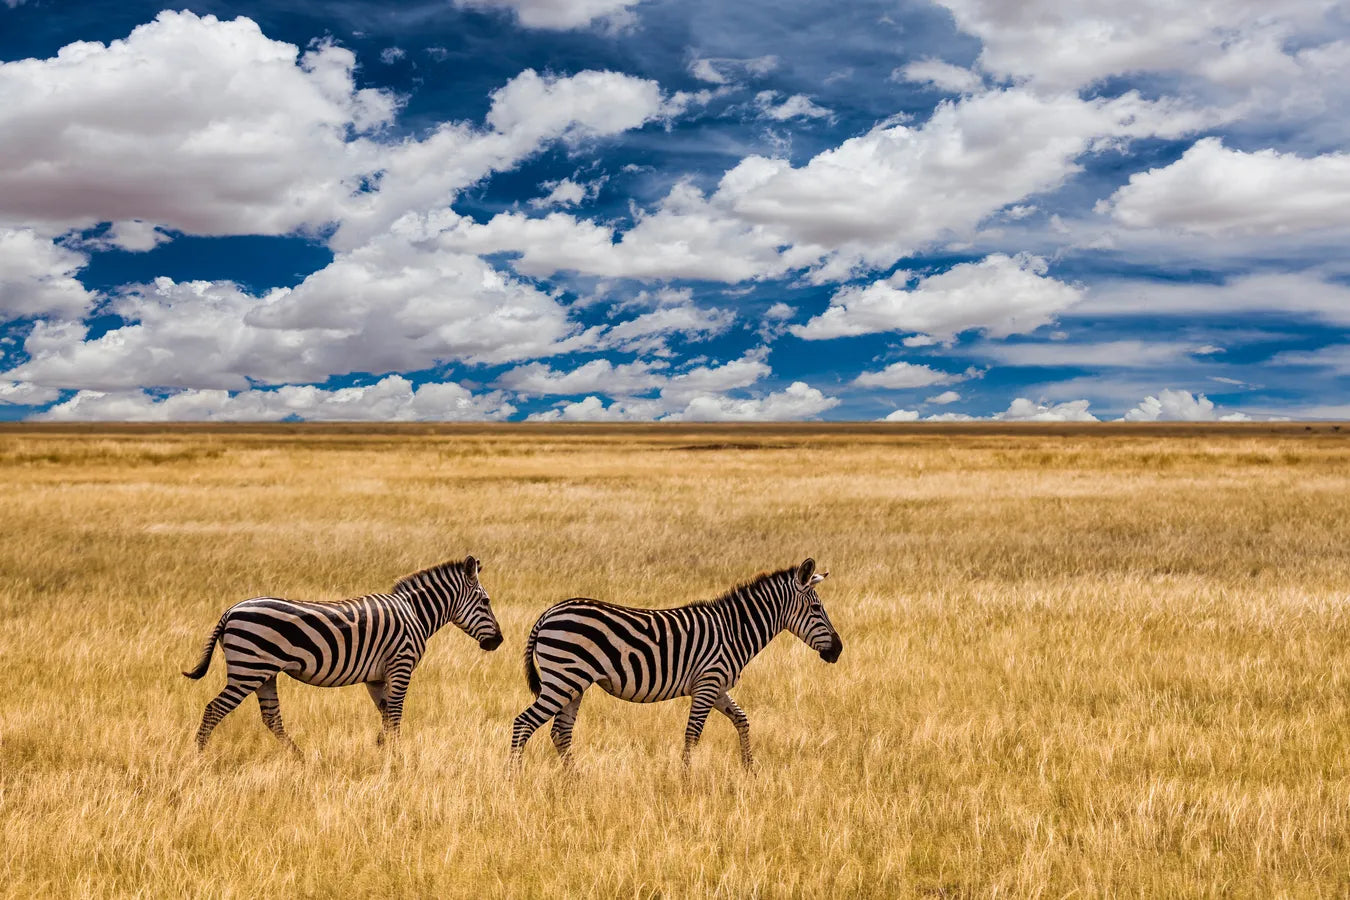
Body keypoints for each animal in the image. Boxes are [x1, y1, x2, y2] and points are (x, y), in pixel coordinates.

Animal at [183, 555, 502, 755]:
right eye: (486, 602)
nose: (498, 641)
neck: (415, 613)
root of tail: (230, 611)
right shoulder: (401, 663)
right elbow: (396, 713)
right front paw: (397, 757)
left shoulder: (376, 677)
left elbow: (386, 713)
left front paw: (382, 749)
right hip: (248, 669)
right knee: (214, 709)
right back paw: (199, 756)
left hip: (264, 673)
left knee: (272, 718)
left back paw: (300, 758)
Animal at [510, 558, 837, 771]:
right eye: (816, 608)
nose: (838, 650)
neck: (734, 629)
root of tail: (548, 613)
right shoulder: (707, 684)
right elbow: (693, 734)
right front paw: (686, 780)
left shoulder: (716, 686)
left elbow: (742, 720)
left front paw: (749, 770)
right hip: (563, 678)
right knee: (524, 723)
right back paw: (514, 780)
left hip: (573, 683)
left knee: (560, 732)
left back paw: (575, 781)